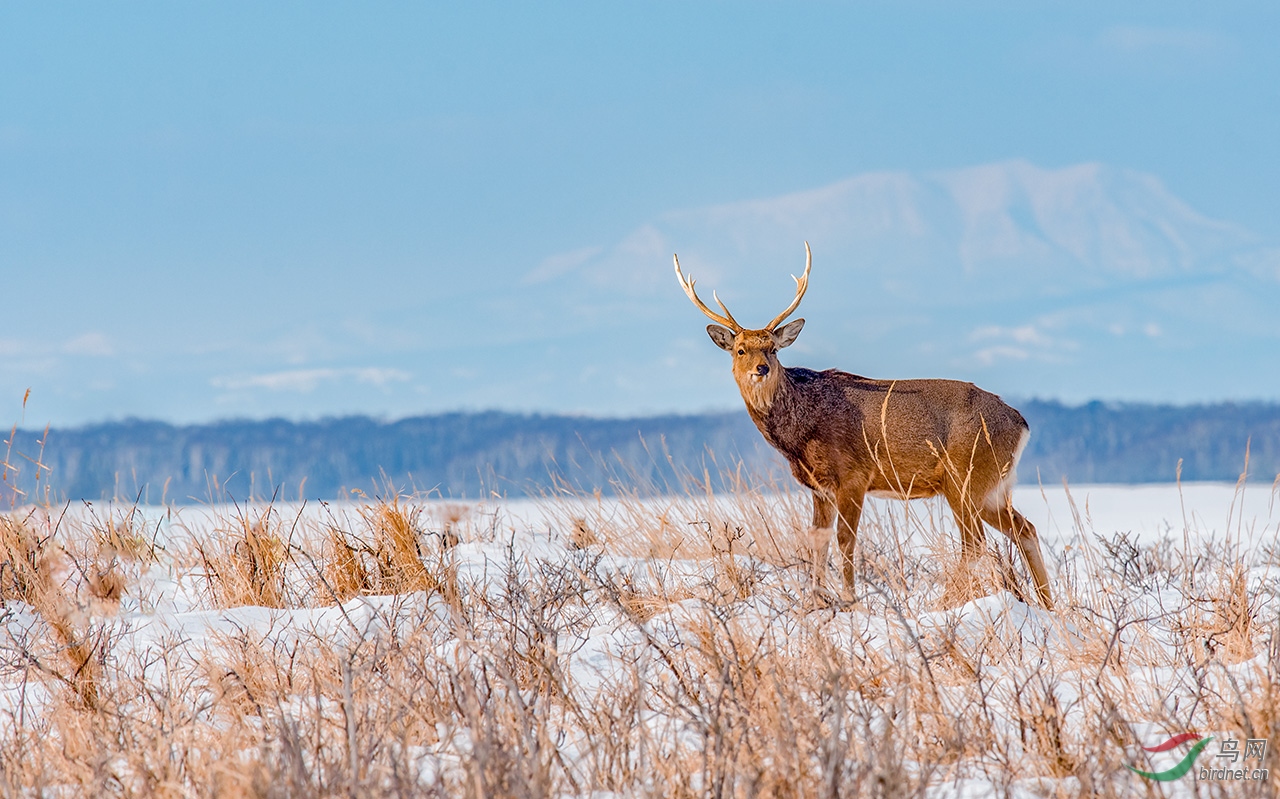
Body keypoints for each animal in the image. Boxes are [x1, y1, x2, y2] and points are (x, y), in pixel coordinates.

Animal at [674, 243, 1054, 609]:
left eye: (773, 349)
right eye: (740, 350)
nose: (761, 369)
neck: (800, 436)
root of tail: (1020, 423)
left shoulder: (854, 476)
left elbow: (846, 542)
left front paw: (849, 601)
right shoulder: (819, 487)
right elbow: (818, 542)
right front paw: (815, 602)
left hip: (965, 477)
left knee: (975, 542)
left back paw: (943, 603)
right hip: (993, 487)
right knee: (1024, 528)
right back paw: (1048, 605)